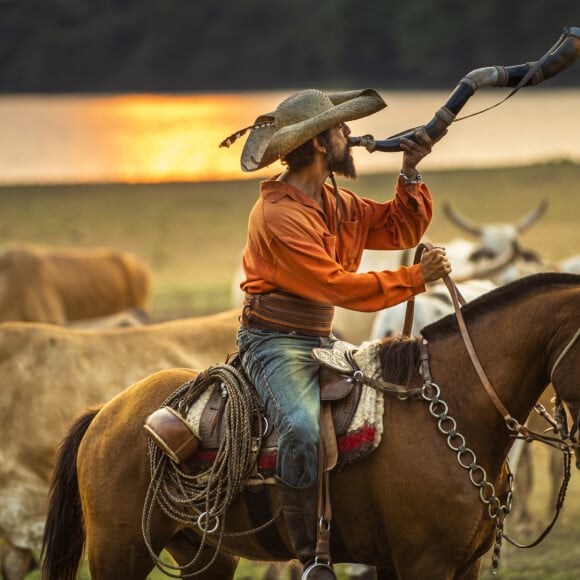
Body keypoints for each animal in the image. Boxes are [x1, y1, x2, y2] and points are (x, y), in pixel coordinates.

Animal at [40, 274, 580, 580]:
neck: (453, 408)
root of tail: (105, 413)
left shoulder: (454, 563)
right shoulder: (425, 561)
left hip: (205, 553)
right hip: (119, 552)